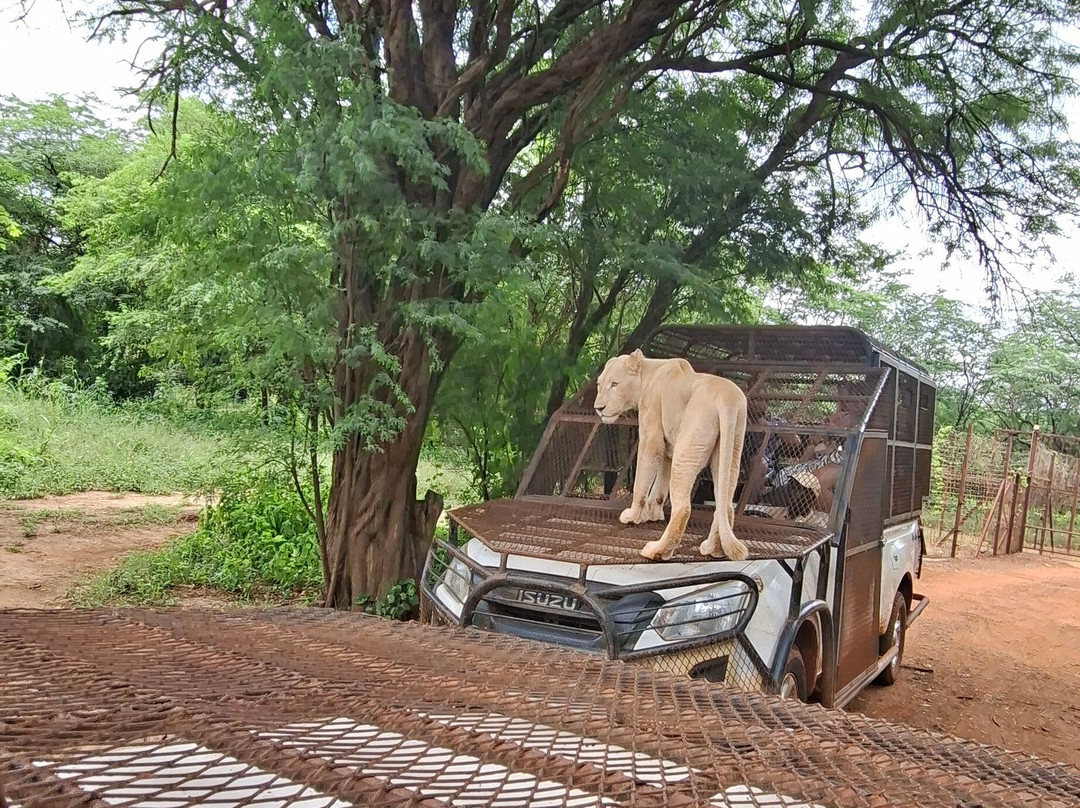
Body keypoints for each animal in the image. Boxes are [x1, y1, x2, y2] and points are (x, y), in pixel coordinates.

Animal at [594, 349, 749, 561]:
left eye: (614, 384)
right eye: (599, 384)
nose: (598, 408)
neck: (648, 373)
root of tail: (727, 400)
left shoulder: (651, 438)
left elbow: (641, 481)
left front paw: (633, 516)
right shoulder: (668, 447)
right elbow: (660, 483)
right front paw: (652, 513)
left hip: (686, 451)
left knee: (683, 508)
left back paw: (657, 551)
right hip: (730, 453)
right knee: (725, 506)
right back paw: (713, 549)